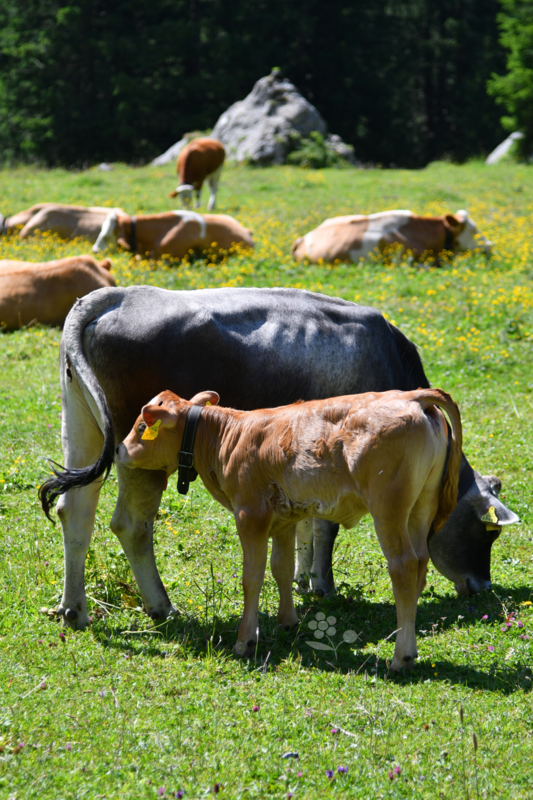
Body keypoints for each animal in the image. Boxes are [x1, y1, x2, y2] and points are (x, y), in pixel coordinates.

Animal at [40, 284, 516, 628]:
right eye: (487, 531)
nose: (483, 585)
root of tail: (113, 295)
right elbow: (325, 528)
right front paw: (322, 585)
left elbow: (306, 523)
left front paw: (304, 579)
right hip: (140, 455)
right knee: (132, 525)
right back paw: (162, 606)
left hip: (81, 426)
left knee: (74, 511)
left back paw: (74, 609)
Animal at [117, 386, 462, 668]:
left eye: (142, 426)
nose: (119, 449)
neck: (228, 437)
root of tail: (412, 397)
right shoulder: (284, 520)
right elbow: (281, 568)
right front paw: (288, 621)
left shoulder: (250, 515)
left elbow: (252, 578)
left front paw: (246, 640)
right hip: (421, 508)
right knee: (420, 564)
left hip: (388, 509)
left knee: (403, 566)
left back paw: (401, 657)